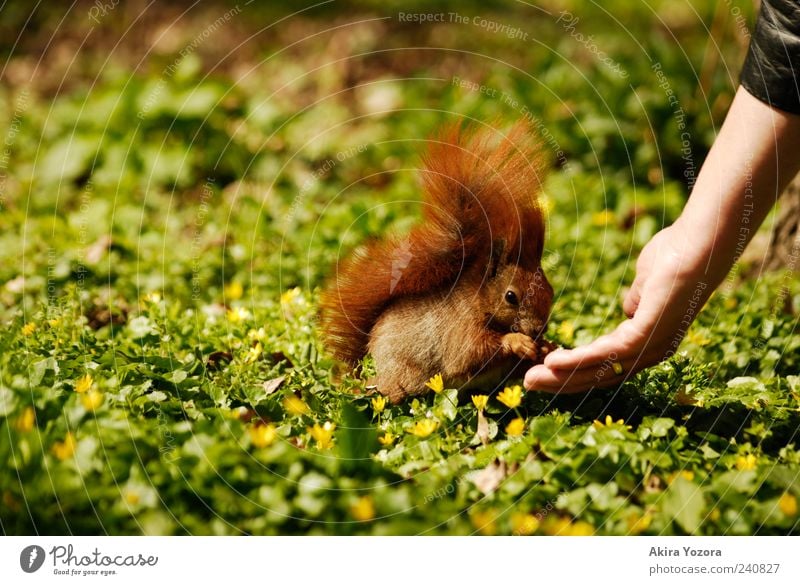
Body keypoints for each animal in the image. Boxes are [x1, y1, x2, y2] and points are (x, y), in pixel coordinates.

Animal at [318, 118, 556, 402]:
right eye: (511, 296)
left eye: (551, 291)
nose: (538, 329)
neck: (478, 301)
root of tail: (363, 370)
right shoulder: (459, 329)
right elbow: (469, 354)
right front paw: (516, 341)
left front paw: (546, 347)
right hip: (401, 379)